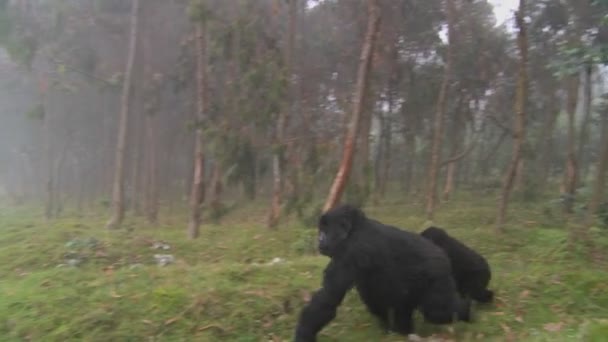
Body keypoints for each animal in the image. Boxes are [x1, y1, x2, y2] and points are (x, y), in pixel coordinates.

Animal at [294, 204, 470, 340]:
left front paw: (304, 333)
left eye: (325, 231)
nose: (319, 240)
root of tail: (442, 252)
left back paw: (467, 312)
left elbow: (328, 298)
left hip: (437, 273)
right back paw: (404, 331)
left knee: (438, 310)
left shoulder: (353, 249)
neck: (355, 228)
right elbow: (374, 298)